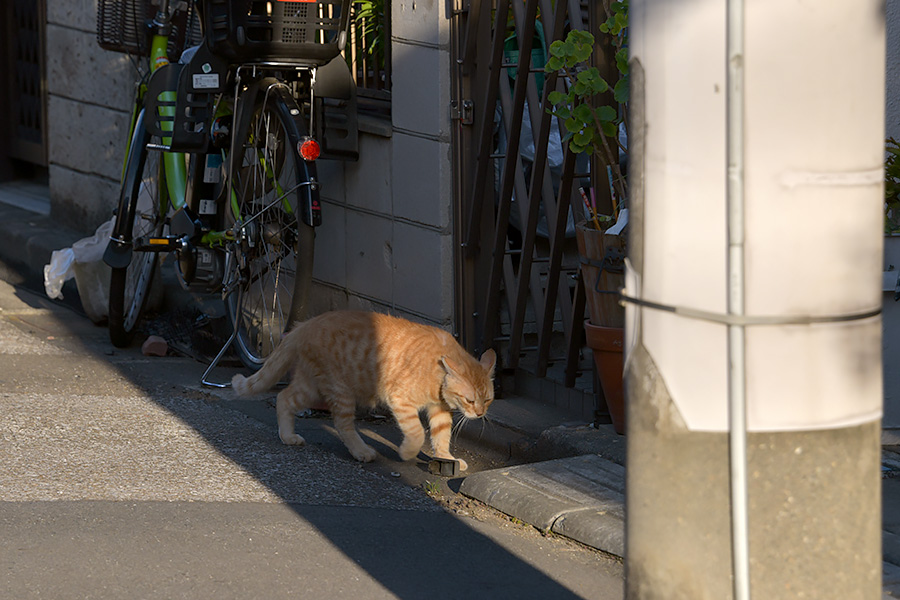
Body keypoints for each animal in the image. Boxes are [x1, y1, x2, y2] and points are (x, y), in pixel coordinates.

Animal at [230, 312, 500, 472]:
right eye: (470, 400)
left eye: (488, 400)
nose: (479, 414)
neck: (437, 375)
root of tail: (305, 324)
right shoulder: (400, 399)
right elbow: (416, 432)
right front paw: (407, 452)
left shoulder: (440, 410)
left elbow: (441, 436)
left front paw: (448, 458)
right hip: (339, 390)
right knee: (342, 424)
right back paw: (361, 451)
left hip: (310, 385)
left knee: (284, 398)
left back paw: (287, 436)